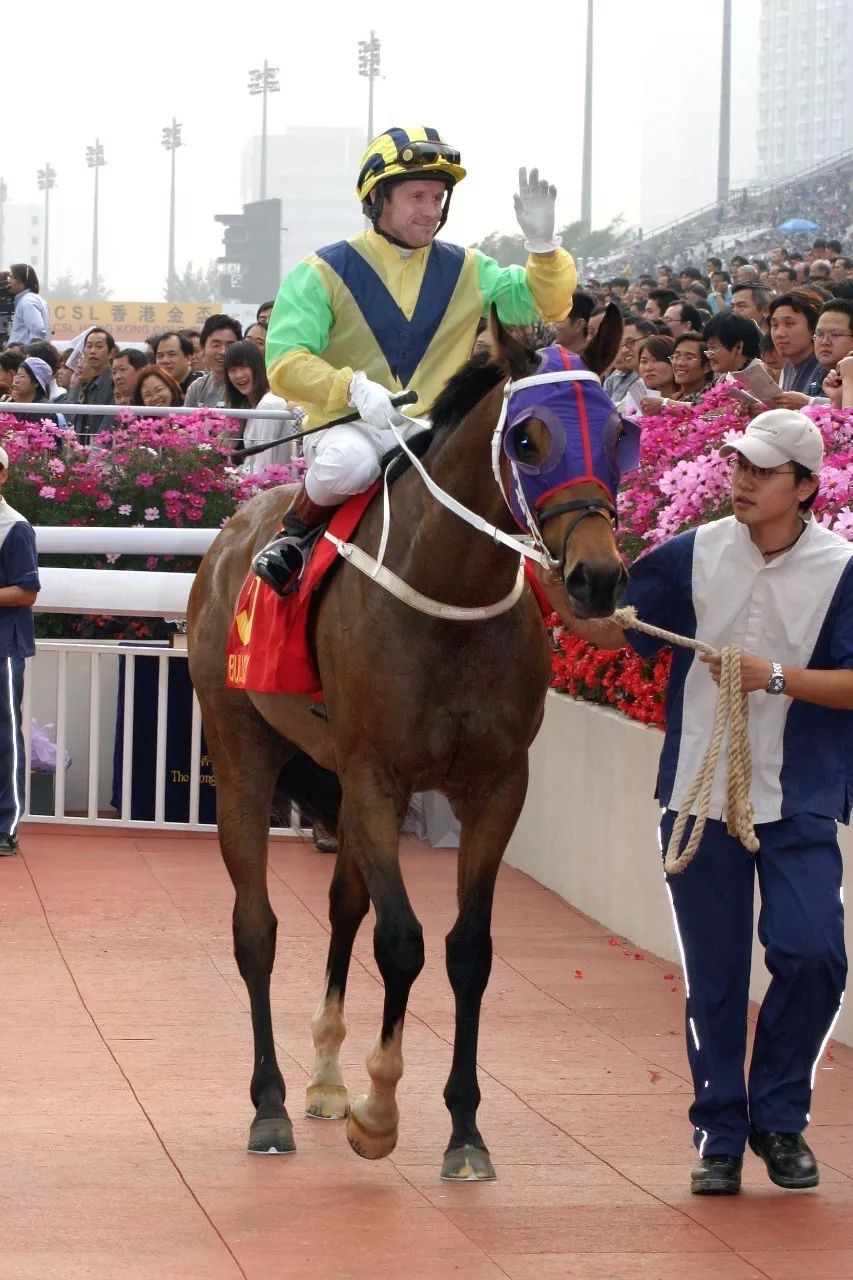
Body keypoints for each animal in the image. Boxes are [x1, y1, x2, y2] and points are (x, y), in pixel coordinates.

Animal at [185, 307, 625, 1177]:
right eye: (526, 438)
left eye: (620, 432)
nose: (596, 578)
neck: (447, 596)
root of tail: (234, 530)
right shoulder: (376, 777)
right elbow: (401, 941)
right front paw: (379, 1110)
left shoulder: (497, 786)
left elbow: (467, 950)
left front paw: (463, 1130)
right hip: (245, 750)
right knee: (257, 928)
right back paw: (272, 1104)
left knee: (342, 905)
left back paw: (324, 1077)